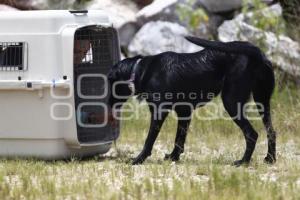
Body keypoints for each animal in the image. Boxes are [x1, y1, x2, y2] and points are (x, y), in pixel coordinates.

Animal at [107, 37, 276, 166]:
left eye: (110, 83)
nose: (107, 104)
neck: (140, 71)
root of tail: (257, 52)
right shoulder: (184, 111)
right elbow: (179, 139)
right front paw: (174, 157)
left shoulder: (159, 111)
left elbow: (149, 140)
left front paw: (138, 159)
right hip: (262, 100)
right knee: (271, 131)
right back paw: (270, 159)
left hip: (231, 101)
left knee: (252, 134)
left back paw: (243, 162)